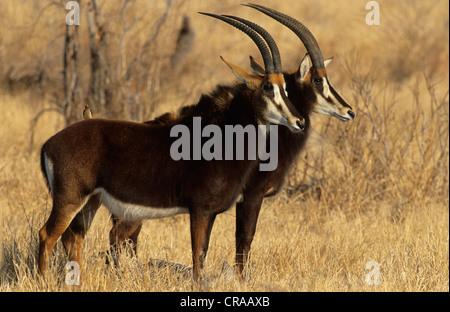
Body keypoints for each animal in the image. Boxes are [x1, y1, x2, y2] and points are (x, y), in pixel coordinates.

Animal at [39, 13, 306, 282]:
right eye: (268, 87)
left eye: (284, 87)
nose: (299, 121)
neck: (221, 137)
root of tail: (49, 144)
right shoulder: (200, 209)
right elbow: (198, 257)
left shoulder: (210, 213)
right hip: (70, 198)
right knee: (47, 234)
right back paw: (42, 280)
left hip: (90, 201)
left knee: (73, 237)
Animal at [104, 4, 356, 280]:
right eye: (318, 80)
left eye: (286, 89)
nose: (349, 111)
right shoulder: (251, 194)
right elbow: (244, 238)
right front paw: (242, 279)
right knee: (119, 239)